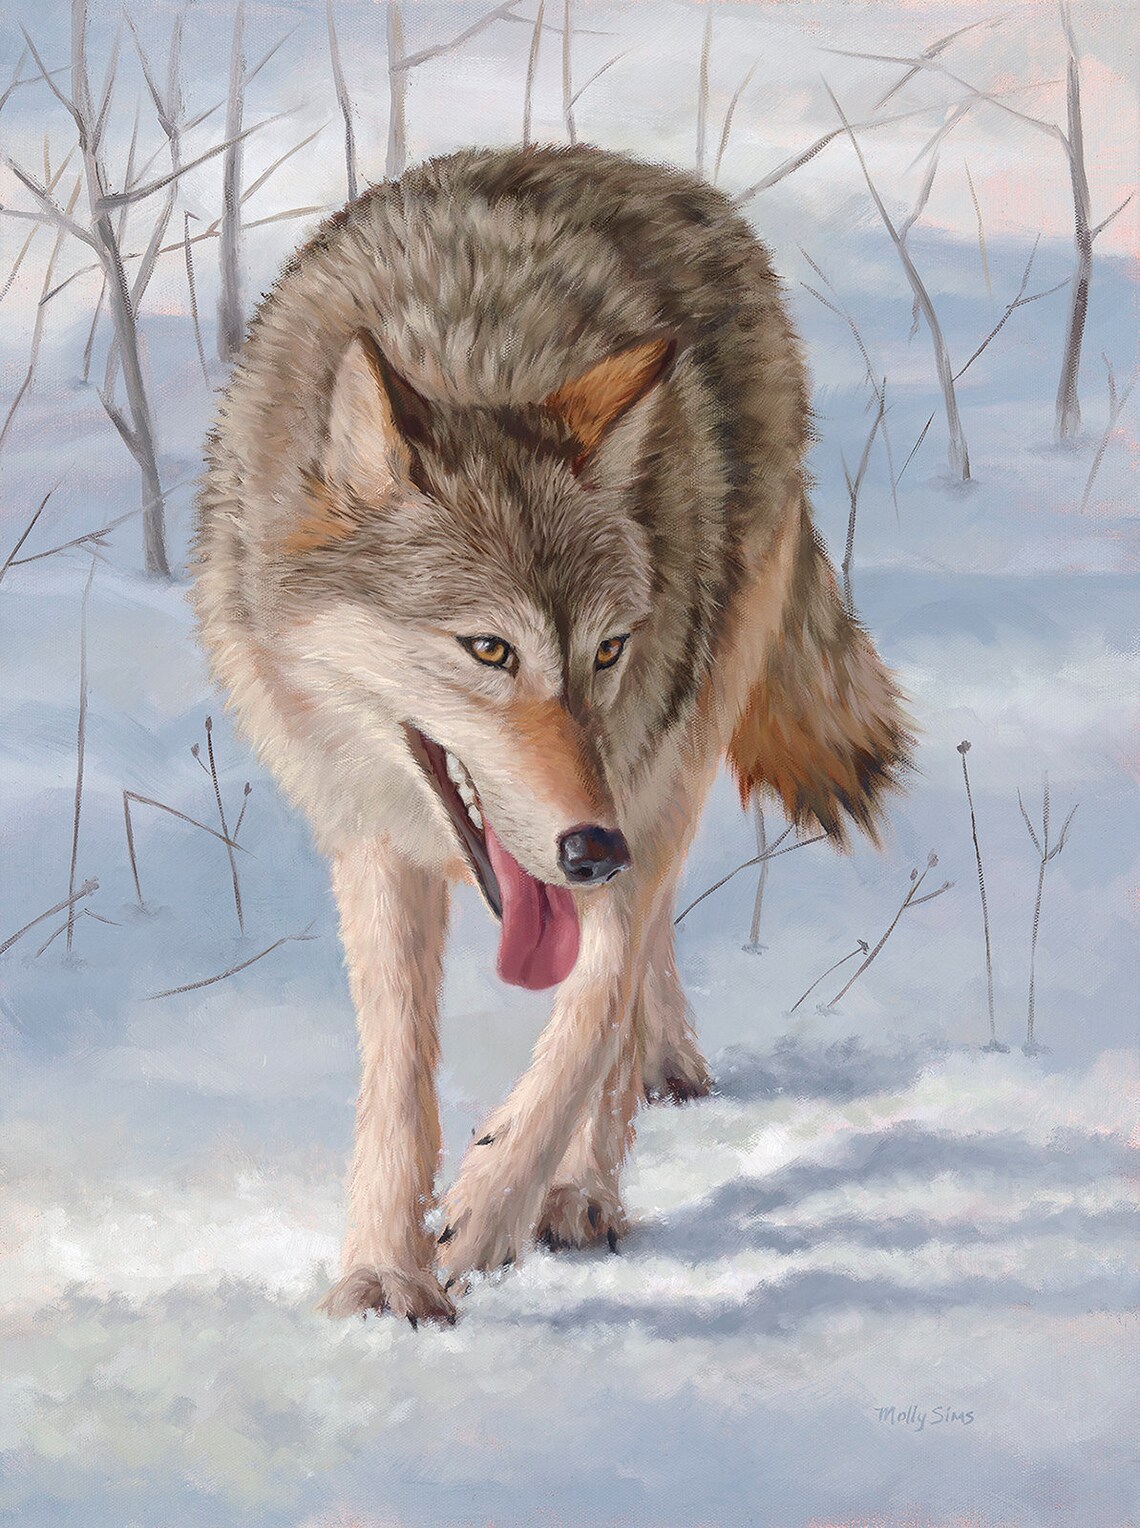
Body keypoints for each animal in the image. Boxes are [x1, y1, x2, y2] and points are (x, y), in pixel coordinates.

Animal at [192, 144, 909, 1324]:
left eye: (607, 651)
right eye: (490, 650)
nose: (589, 850)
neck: (478, 359)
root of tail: (645, 171)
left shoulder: (636, 783)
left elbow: (591, 1007)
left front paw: (494, 1205)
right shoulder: (372, 838)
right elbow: (399, 1067)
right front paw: (385, 1277)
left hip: (679, 745)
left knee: (631, 957)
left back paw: (585, 1181)